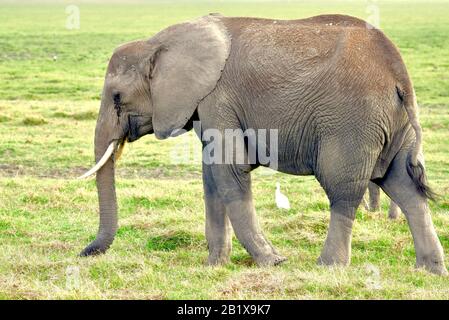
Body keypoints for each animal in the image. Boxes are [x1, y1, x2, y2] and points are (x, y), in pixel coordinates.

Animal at [79, 14, 446, 276]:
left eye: (117, 98)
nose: (86, 252)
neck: (158, 43)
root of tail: (399, 73)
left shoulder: (218, 99)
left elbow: (229, 172)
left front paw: (273, 262)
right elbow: (212, 176)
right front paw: (215, 266)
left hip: (352, 121)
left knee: (344, 190)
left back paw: (329, 267)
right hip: (393, 122)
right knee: (404, 187)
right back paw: (429, 271)